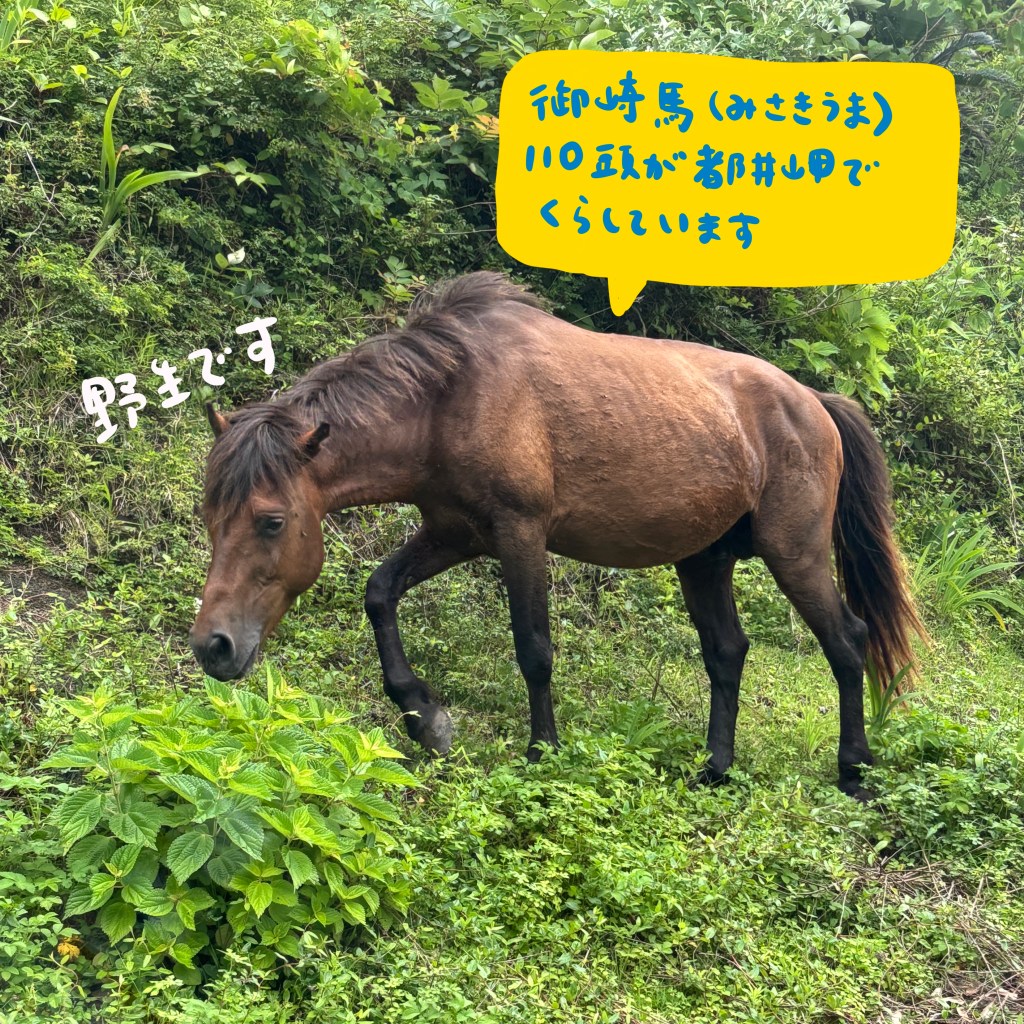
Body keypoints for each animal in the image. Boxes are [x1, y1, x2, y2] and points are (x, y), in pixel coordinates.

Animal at [189, 271, 925, 798]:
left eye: (271, 521)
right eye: (209, 518)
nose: (212, 647)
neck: (447, 398)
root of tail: (813, 402)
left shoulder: (520, 533)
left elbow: (534, 649)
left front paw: (542, 751)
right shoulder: (455, 533)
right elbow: (379, 592)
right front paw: (424, 717)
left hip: (793, 553)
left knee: (847, 641)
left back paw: (854, 771)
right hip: (703, 560)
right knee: (727, 653)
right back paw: (715, 769)